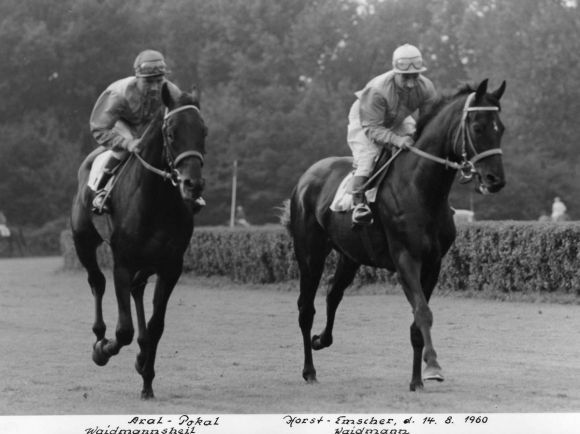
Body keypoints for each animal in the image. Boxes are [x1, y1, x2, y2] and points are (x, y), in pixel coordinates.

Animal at [71, 82, 206, 400]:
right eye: (172, 133)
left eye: (204, 131)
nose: (192, 185)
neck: (156, 201)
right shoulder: (123, 262)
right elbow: (124, 331)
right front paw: (105, 350)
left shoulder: (171, 266)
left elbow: (156, 326)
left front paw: (146, 376)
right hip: (83, 241)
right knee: (97, 282)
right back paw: (99, 336)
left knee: (137, 288)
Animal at [290, 79, 508, 392]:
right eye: (478, 127)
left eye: (500, 128)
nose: (495, 180)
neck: (420, 189)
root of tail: (306, 177)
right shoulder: (406, 260)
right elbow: (423, 313)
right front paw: (433, 366)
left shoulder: (433, 264)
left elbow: (418, 319)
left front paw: (417, 379)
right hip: (310, 253)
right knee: (306, 308)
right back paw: (309, 370)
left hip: (350, 256)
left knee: (333, 294)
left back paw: (322, 339)